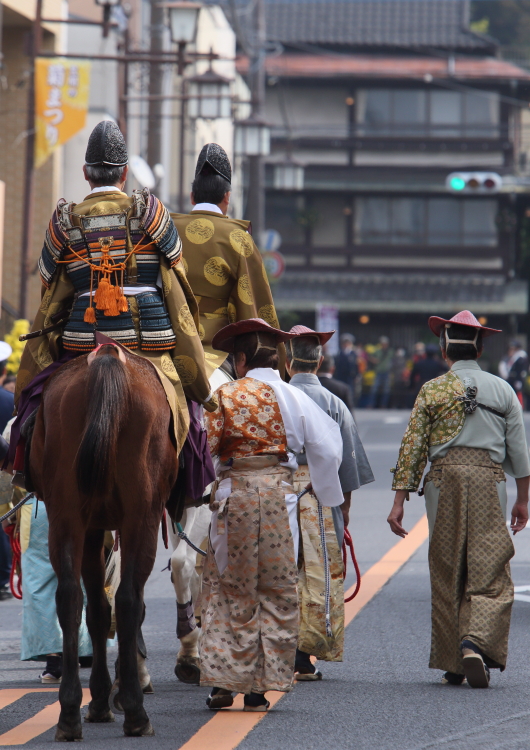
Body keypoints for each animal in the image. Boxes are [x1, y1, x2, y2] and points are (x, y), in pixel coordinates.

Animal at [28, 346, 177, 740]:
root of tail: (108, 357)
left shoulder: (92, 526)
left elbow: (95, 609)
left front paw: (97, 699)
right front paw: (118, 694)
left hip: (66, 513)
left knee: (69, 597)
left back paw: (69, 714)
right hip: (142, 514)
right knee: (128, 599)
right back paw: (135, 711)